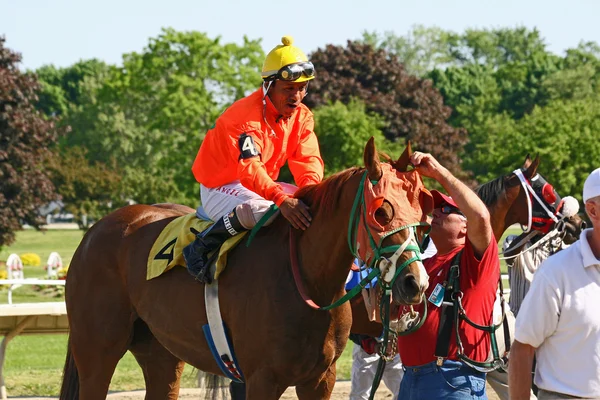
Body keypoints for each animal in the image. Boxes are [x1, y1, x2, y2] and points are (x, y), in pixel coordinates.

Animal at [59, 138, 432, 400]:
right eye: (381, 212)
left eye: (421, 212)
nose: (415, 283)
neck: (305, 279)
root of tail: (95, 230)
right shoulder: (261, 379)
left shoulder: (319, 379)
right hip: (96, 351)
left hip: (160, 350)